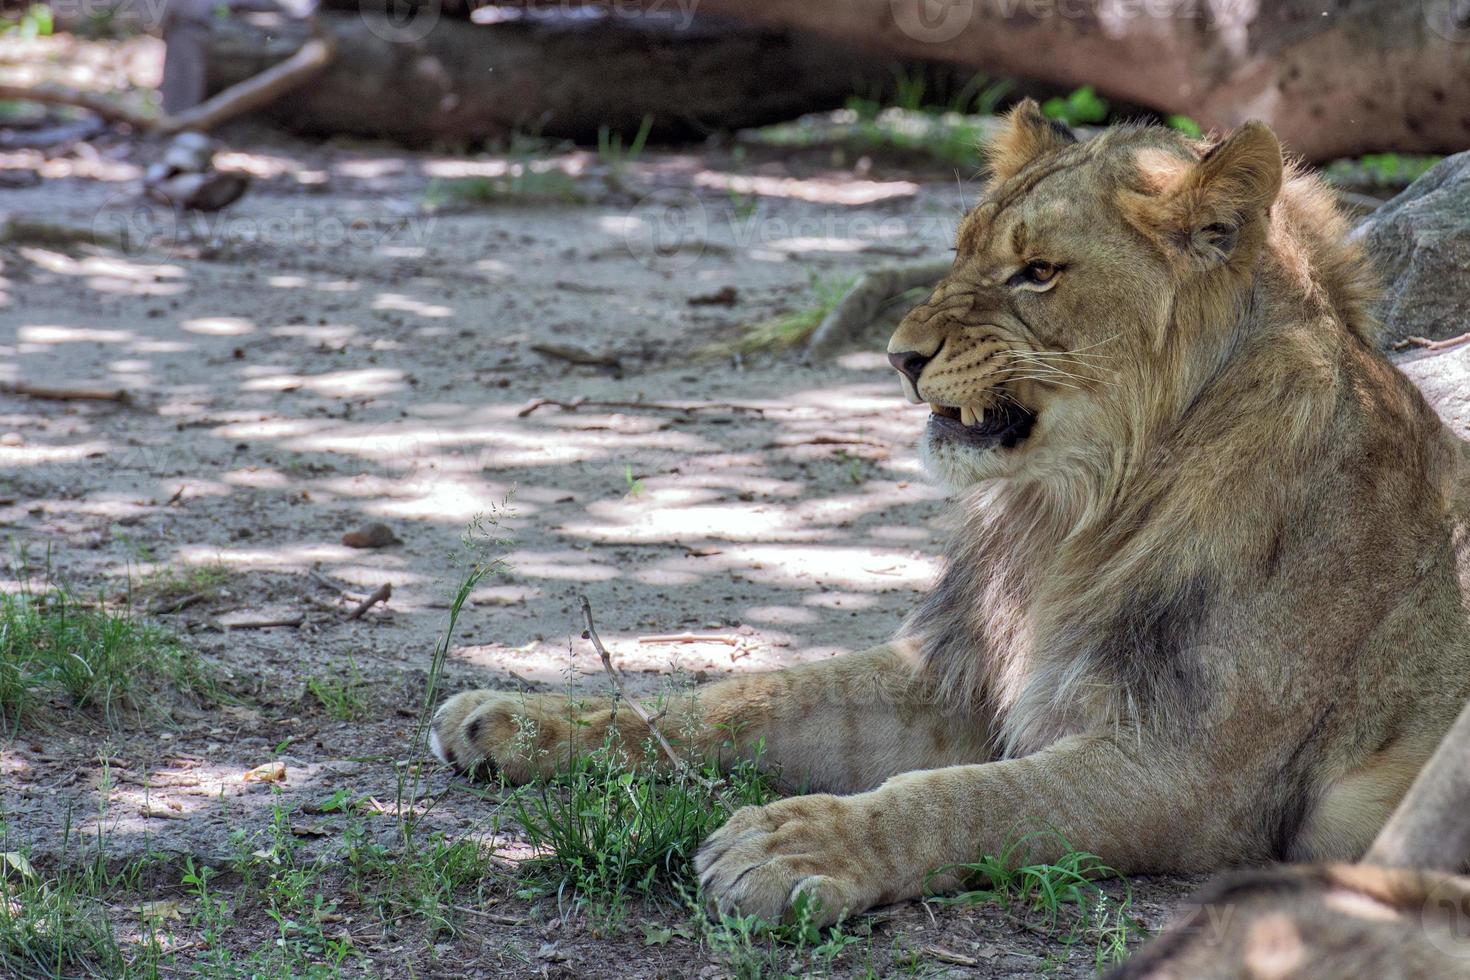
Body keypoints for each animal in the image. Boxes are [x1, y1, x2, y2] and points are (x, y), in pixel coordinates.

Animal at [429, 103, 1470, 934]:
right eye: (963, 250)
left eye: (1037, 272)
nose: (898, 356)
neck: (1072, 514)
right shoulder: (960, 675)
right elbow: (743, 697)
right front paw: (520, 720)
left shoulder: (1192, 775)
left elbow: (969, 798)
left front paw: (798, 843)